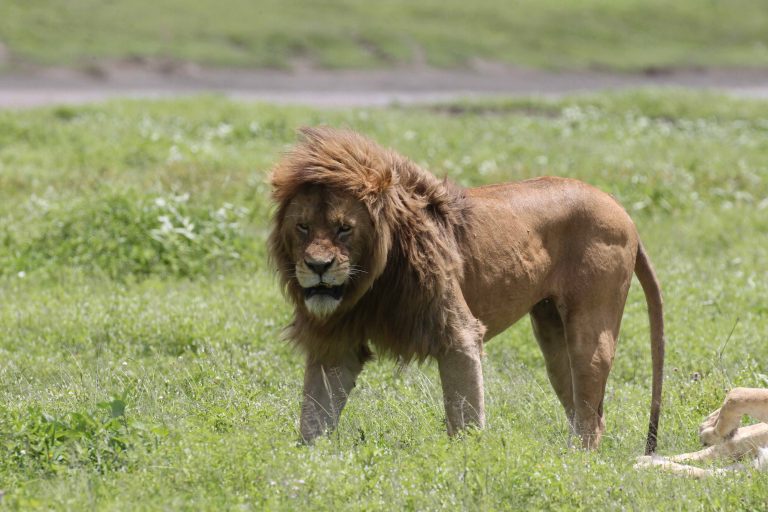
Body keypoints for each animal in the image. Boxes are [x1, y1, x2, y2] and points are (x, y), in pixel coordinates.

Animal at [268, 126, 665, 453]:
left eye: (344, 229)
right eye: (303, 227)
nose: (318, 266)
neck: (369, 282)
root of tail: (621, 208)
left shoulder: (457, 332)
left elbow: (465, 415)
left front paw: (468, 462)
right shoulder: (336, 340)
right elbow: (314, 415)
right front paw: (309, 462)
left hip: (590, 330)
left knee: (589, 413)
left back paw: (573, 463)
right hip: (552, 334)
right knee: (587, 409)